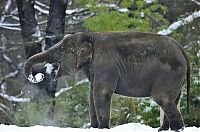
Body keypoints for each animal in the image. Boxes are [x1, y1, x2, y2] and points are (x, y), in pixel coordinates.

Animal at [23, 31, 189, 131]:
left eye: (62, 50)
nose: (36, 75)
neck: (89, 36)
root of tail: (182, 49)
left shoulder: (106, 66)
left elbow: (101, 93)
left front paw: (103, 128)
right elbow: (91, 96)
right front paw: (95, 128)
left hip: (170, 74)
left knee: (163, 99)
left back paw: (177, 129)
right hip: (176, 78)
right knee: (173, 100)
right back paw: (163, 130)